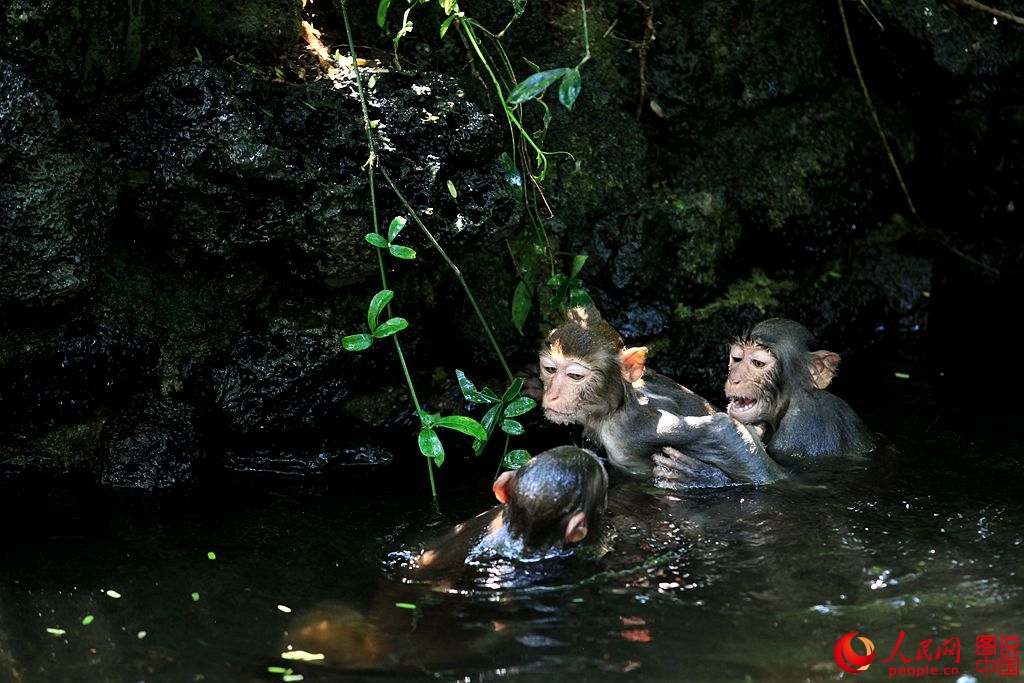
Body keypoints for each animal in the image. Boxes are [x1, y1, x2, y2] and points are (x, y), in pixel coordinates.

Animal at [536, 307, 782, 489]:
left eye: (575, 376)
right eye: (550, 369)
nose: (553, 395)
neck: (619, 404)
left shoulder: (630, 430)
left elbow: (723, 429)